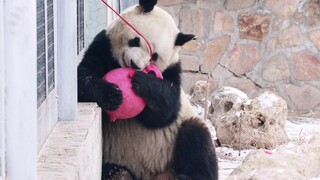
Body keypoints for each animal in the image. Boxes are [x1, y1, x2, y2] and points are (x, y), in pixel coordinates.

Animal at [78, 0, 219, 179]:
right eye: (136, 41)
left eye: (155, 56)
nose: (135, 65)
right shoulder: (104, 46)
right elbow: (84, 78)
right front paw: (112, 95)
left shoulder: (172, 70)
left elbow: (165, 112)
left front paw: (145, 83)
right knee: (112, 170)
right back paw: (118, 173)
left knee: (196, 137)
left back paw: (188, 176)